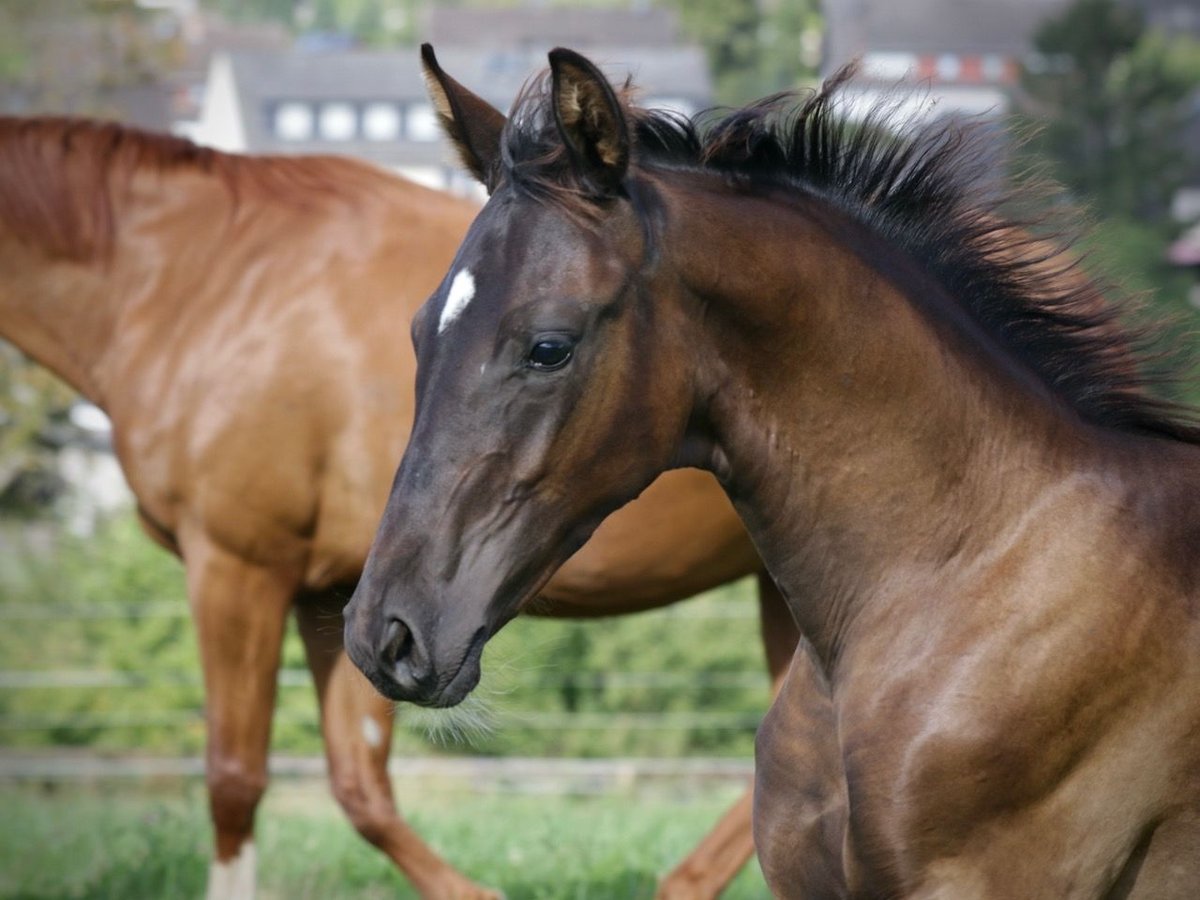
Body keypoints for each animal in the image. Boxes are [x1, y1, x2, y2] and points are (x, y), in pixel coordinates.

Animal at [2, 120, 806, 900]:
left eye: (547, 349)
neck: (204, 277)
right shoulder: (337, 595)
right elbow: (359, 785)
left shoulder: (238, 566)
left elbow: (234, 779)